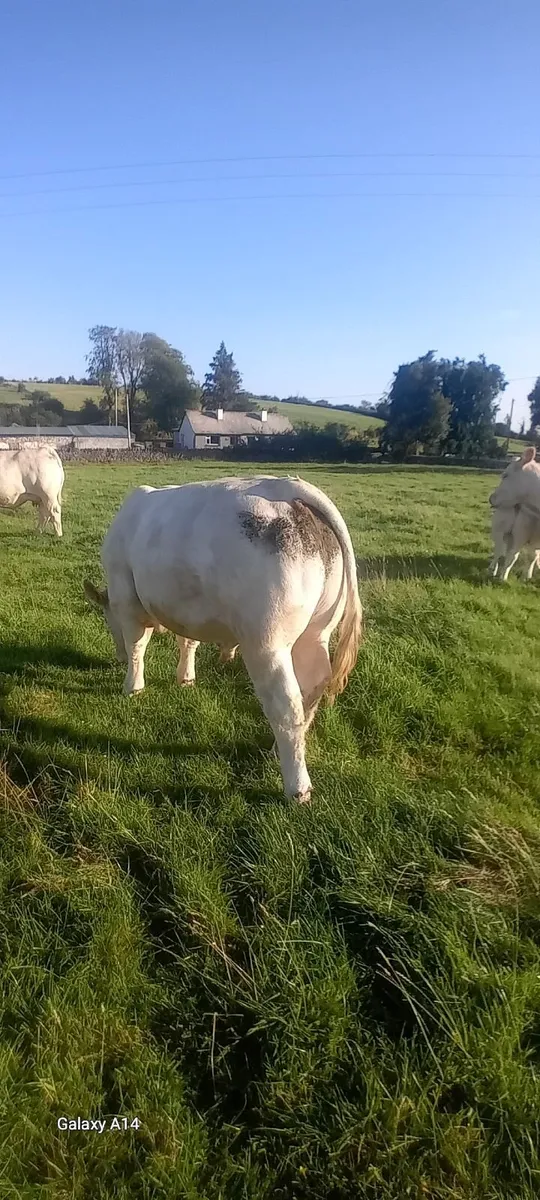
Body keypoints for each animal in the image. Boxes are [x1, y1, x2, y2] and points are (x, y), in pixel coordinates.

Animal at [84, 475, 362, 803]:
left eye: (107, 617)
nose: (117, 658)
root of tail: (287, 486)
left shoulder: (126, 597)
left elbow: (138, 644)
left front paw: (133, 685)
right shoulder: (187, 608)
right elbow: (188, 641)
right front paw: (186, 677)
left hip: (266, 643)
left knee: (286, 704)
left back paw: (297, 787)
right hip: (316, 633)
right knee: (311, 690)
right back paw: (279, 750)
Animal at [489, 447, 540, 581]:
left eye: (505, 475)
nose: (491, 498)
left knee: (505, 552)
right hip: (504, 530)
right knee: (502, 551)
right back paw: (497, 573)